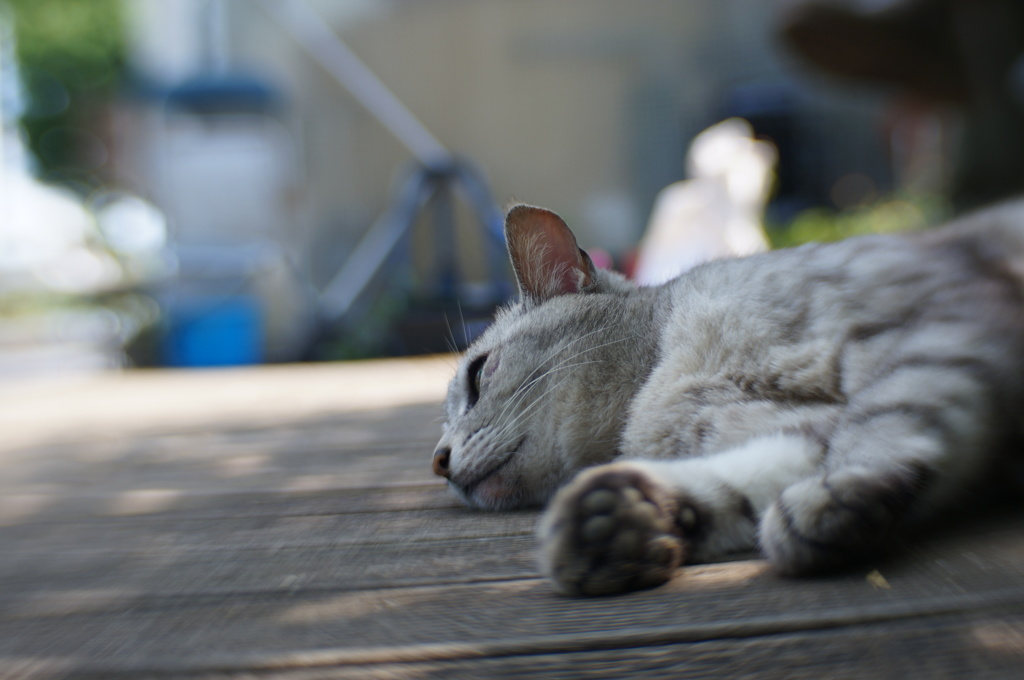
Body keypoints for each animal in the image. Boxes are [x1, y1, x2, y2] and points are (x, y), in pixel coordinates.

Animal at [432, 200, 1024, 593]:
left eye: (477, 377)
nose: (437, 461)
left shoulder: (931, 339)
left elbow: (880, 427)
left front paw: (830, 498)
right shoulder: (796, 434)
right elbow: (740, 485)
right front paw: (615, 522)